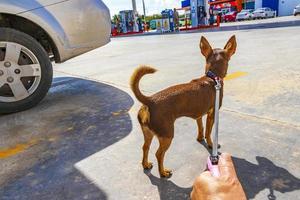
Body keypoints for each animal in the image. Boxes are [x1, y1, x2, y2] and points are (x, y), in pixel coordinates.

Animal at [130, 35, 238, 177]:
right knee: (159, 154)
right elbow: (208, 132)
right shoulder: (212, 114)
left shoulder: (199, 115)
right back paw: (163, 172)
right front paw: (210, 144)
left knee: (145, 148)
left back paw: (146, 164)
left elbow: (201, 128)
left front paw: (200, 138)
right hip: (167, 136)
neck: (212, 77)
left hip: (148, 133)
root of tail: (150, 100)